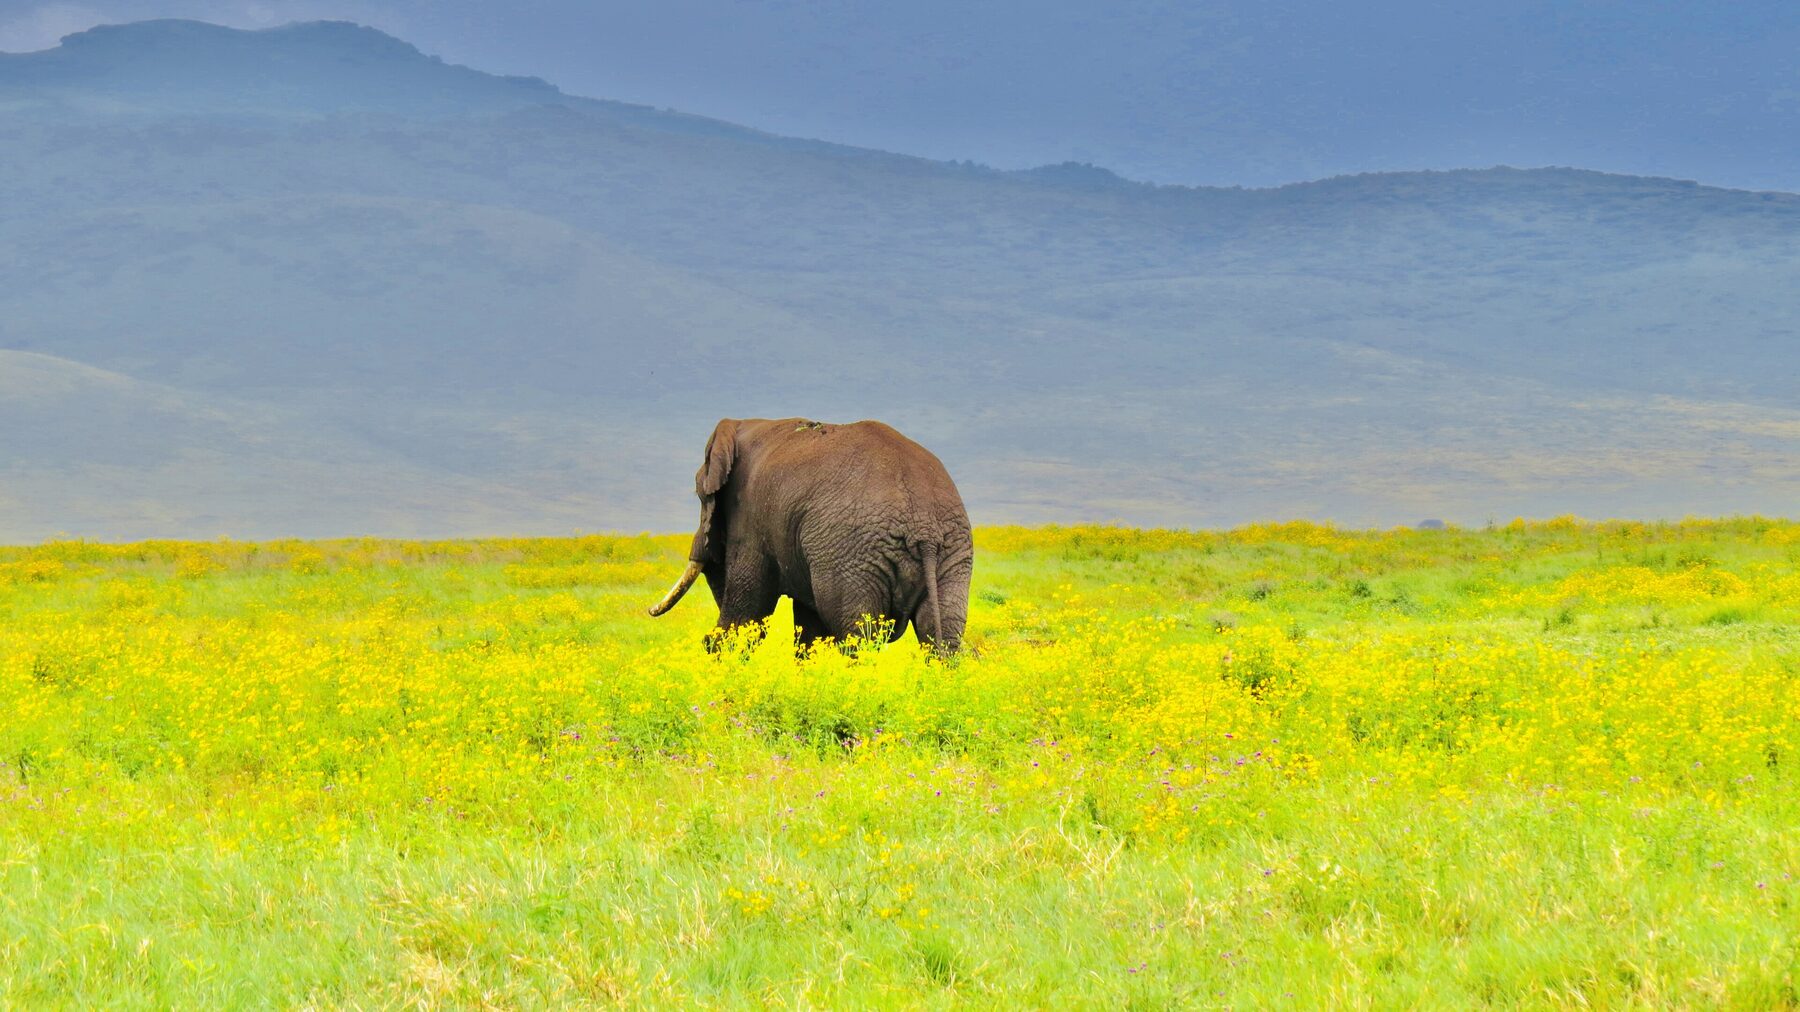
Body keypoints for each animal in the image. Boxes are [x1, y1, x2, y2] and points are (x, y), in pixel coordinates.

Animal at [649, 417, 974, 655]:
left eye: (700, 494)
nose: (649, 611)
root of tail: (924, 529)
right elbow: (808, 629)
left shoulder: (751, 519)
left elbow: (749, 611)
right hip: (953, 551)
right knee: (941, 635)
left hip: (851, 555)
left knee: (857, 635)